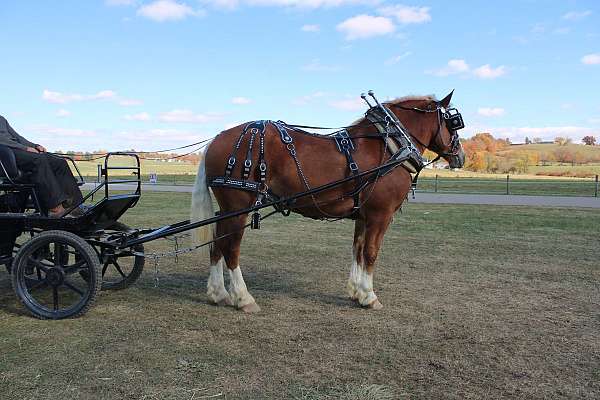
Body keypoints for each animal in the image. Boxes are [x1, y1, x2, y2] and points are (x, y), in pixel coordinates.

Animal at [190, 90, 466, 312]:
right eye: (454, 123)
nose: (460, 157)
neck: (390, 144)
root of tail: (216, 139)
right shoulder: (380, 215)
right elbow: (371, 252)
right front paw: (369, 296)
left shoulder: (363, 215)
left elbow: (357, 249)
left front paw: (355, 291)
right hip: (239, 207)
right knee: (231, 247)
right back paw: (243, 297)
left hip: (228, 208)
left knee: (217, 242)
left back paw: (218, 293)